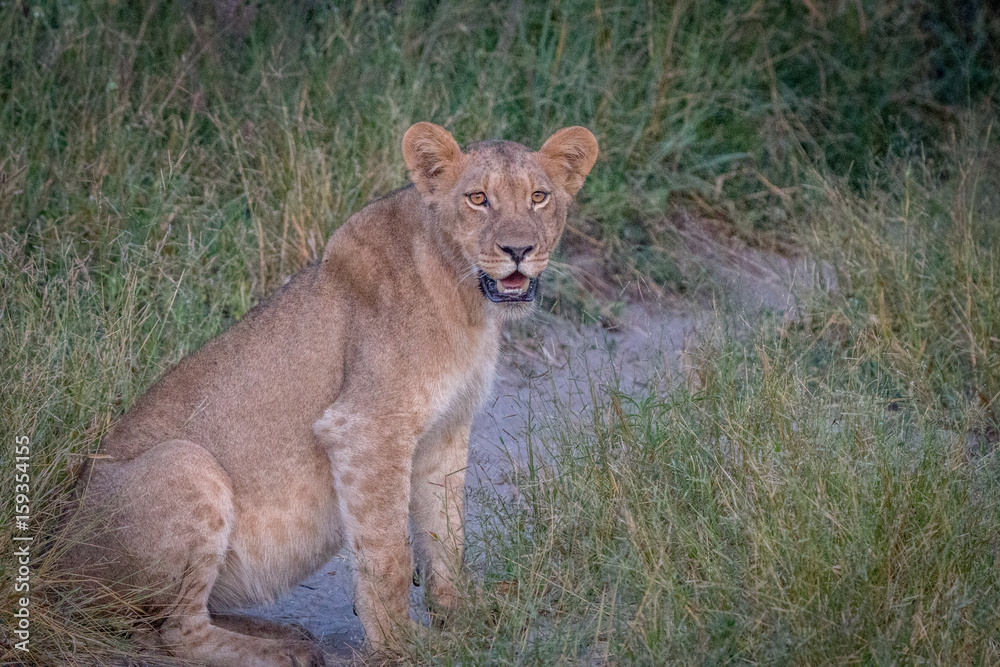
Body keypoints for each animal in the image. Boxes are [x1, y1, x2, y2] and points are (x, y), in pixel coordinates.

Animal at [62, 122, 598, 666]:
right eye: (477, 199)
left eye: (538, 197)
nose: (518, 250)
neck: (466, 301)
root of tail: (54, 556)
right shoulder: (365, 427)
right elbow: (389, 552)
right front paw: (403, 644)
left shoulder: (447, 430)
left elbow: (446, 536)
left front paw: (463, 619)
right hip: (185, 461)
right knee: (172, 631)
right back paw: (283, 652)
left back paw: (287, 633)